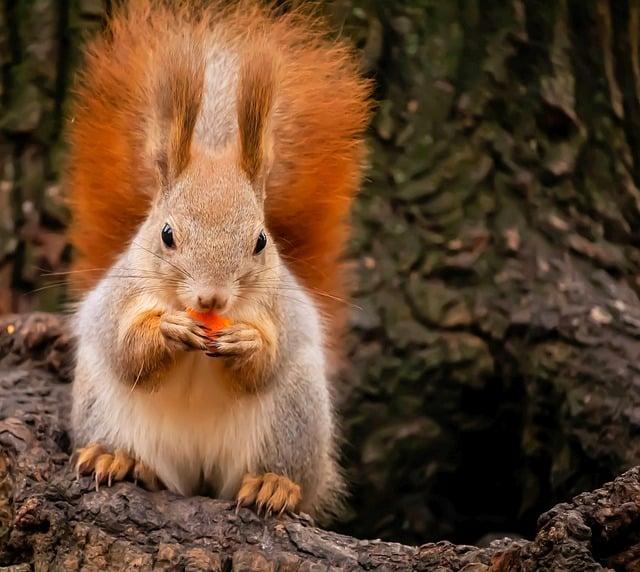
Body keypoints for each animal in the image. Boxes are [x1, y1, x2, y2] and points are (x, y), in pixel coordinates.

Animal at [65, 0, 370, 520]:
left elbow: (265, 360)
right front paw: (168, 329)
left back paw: (274, 485)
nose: (211, 298)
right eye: (166, 234)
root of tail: (198, 474)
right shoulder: (119, 297)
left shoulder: (280, 312)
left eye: (261, 241)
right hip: (101, 406)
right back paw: (119, 459)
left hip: (295, 416)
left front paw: (246, 342)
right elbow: (127, 349)